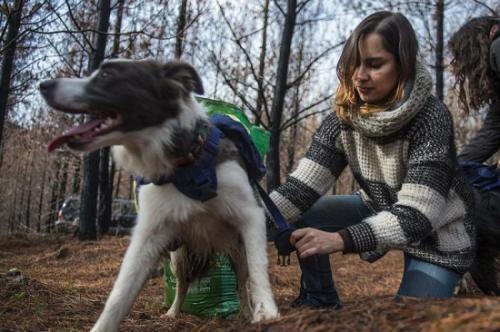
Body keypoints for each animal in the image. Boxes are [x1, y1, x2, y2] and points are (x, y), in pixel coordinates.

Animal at [39, 59, 280, 332]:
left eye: (107, 74)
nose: (44, 85)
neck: (187, 164)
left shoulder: (250, 216)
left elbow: (258, 269)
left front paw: (266, 312)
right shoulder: (149, 235)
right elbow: (119, 294)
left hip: (236, 251)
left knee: (241, 282)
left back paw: (246, 313)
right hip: (179, 256)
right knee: (184, 284)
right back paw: (173, 312)